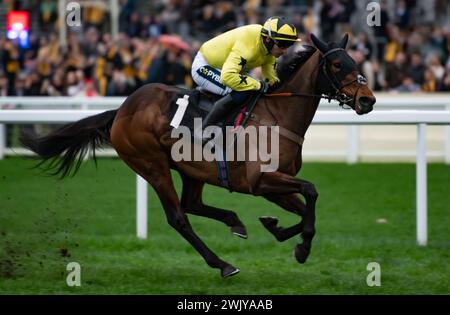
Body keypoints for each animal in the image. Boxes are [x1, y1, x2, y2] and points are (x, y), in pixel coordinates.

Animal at [20, 33, 376, 278]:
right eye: (337, 64)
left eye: (356, 62)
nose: (368, 100)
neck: (278, 114)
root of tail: (121, 110)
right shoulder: (261, 180)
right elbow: (311, 192)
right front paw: (300, 247)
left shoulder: (274, 184)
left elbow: (304, 208)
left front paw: (278, 229)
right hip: (153, 166)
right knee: (179, 217)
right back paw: (222, 263)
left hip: (192, 170)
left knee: (192, 203)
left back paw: (235, 222)